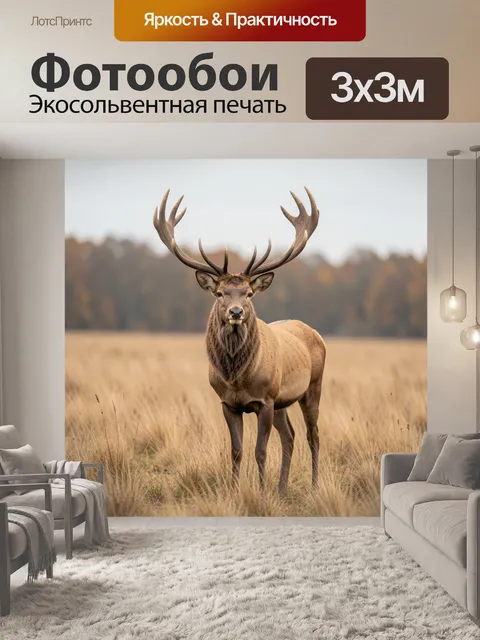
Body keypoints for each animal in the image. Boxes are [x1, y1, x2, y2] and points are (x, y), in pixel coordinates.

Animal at [153, 188, 326, 494]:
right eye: (220, 293)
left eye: (248, 293)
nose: (236, 312)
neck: (237, 378)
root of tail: (315, 334)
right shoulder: (228, 403)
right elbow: (236, 451)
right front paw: (235, 491)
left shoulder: (265, 399)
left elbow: (260, 451)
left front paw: (261, 491)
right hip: (283, 400)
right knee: (290, 436)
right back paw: (282, 489)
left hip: (312, 387)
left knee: (312, 435)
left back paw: (314, 486)